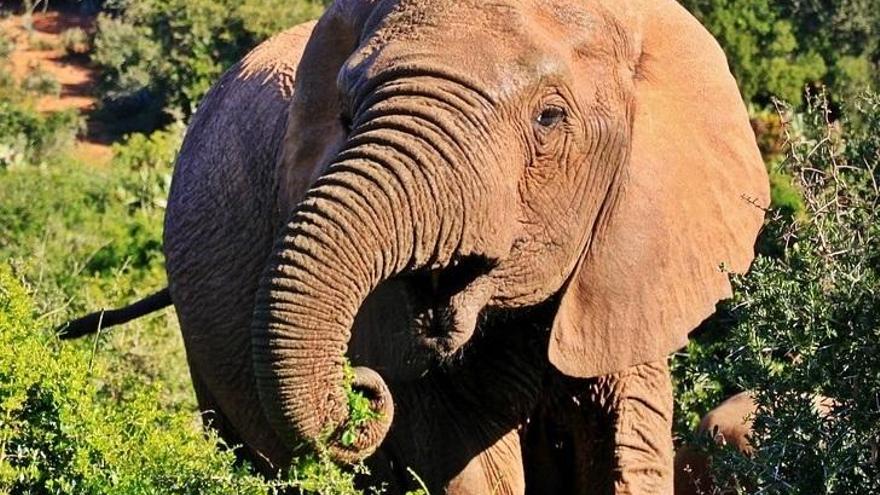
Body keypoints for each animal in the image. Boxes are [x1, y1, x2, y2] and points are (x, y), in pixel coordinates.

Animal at [60, 0, 769, 493]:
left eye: (550, 118)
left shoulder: (632, 256)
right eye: (347, 116)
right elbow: (462, 461)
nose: (359, 389)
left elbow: (629, 444)